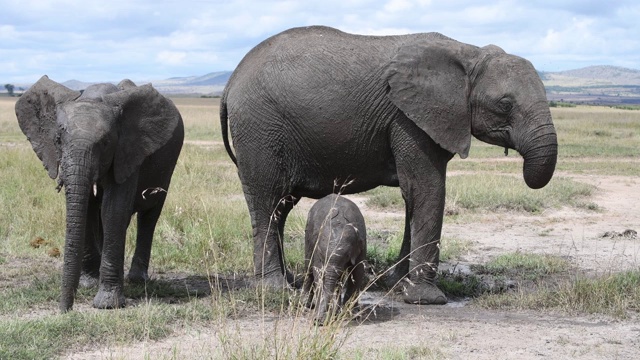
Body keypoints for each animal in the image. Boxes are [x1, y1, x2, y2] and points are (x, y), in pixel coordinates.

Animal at [15, 76, 185, 312]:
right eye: (58, 139)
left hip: (166, 167)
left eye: (105, 143)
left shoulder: (127, 151)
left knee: (149, 215)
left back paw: (137, 279)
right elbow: (88, 207)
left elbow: (113, 211)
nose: (65, 310)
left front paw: (107, 304)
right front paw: (88, 284)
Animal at [219, 26, 556, 306]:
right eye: (505, 105)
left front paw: (396, 284)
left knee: (282, 205)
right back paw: (275, 288)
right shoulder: (408, 119)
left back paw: (290, 280)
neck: (468, 55)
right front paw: (427, 299)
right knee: (268, 201)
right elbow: (427, 190)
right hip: (260, 130)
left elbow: (414, 196)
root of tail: (231, 80)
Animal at [304, 194, 368, 326]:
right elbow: (319, 273)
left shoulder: (362, 244)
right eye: (322, 254)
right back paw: (306, 305)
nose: (318, 321)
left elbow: (358, 272)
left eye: (347, 256)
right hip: (307, 236)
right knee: (308, 266)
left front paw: (351, 314)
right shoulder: (316, 247)